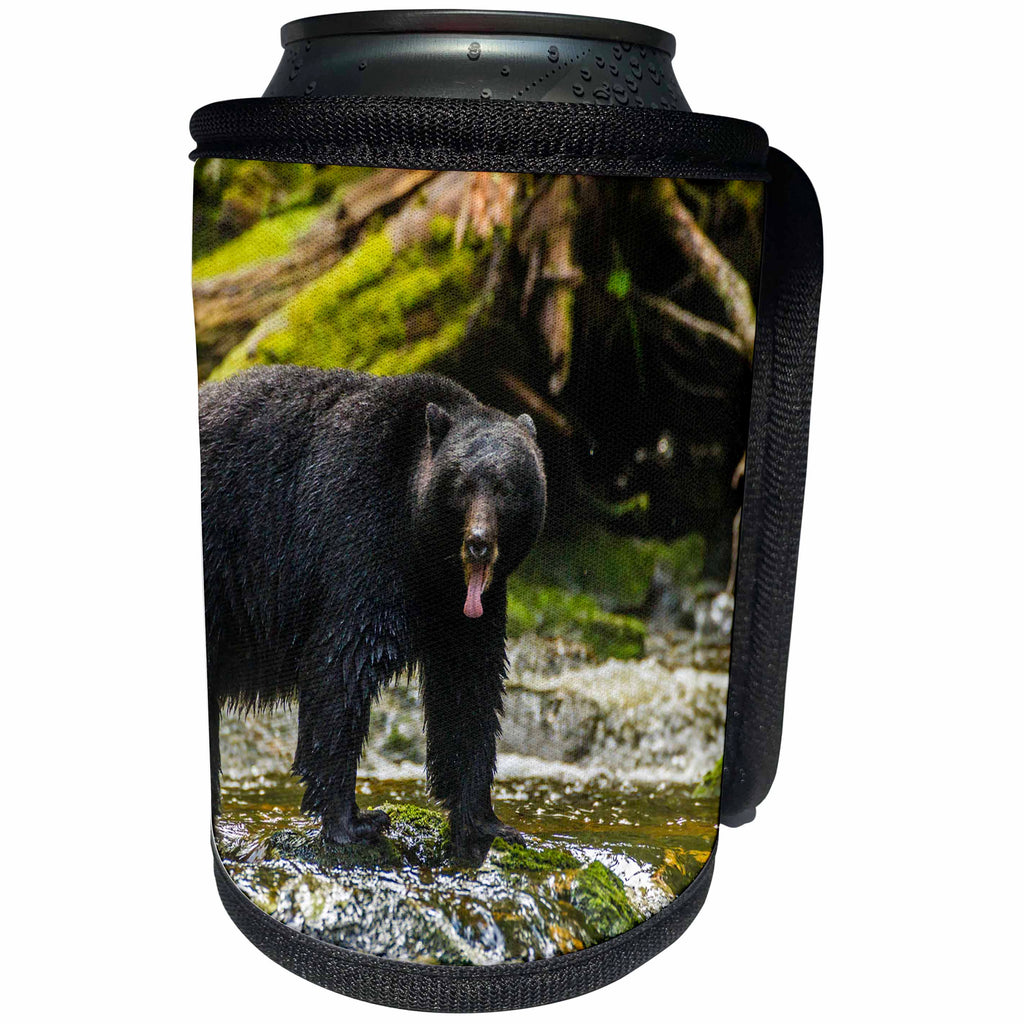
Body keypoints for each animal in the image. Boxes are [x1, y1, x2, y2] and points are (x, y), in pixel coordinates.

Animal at [200, 365, 546, 864]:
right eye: (462, 485)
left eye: (506, 488)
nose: (479, 542)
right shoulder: (356, 529)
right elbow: (346, 660)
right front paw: (354, 820)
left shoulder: (465, 607)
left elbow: (469, 689)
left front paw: (486, 822)